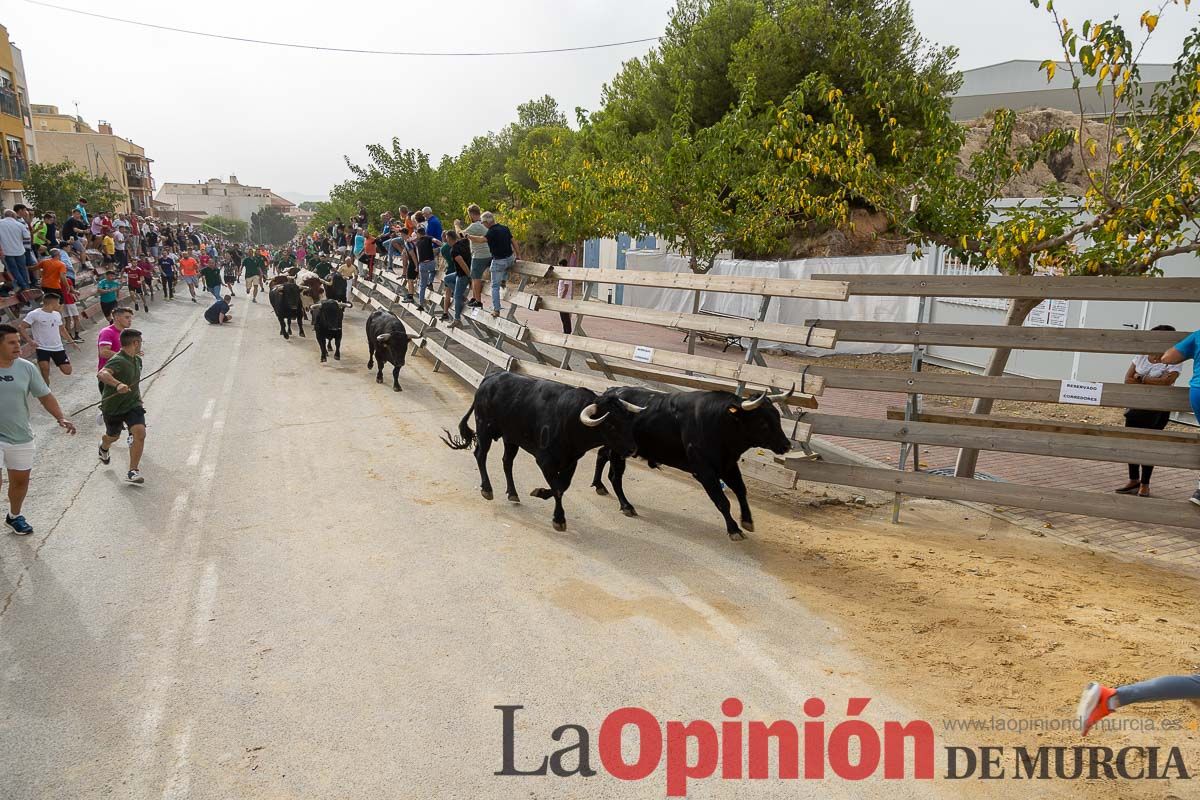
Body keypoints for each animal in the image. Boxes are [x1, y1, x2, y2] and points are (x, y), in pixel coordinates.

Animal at [444, 374, 648, 532]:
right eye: (611, 425)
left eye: (628, 420)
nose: (632, 449)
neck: (570, 420)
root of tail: (489, 378)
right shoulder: (545, 461)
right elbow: (558, 488)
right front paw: (559, 519)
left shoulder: (571, 461)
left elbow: (562, 486)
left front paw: (540, 492)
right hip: (484, 429)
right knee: (481, 455)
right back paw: (487, 489)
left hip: (511, 439)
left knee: (507, 461)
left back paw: (513, 493)